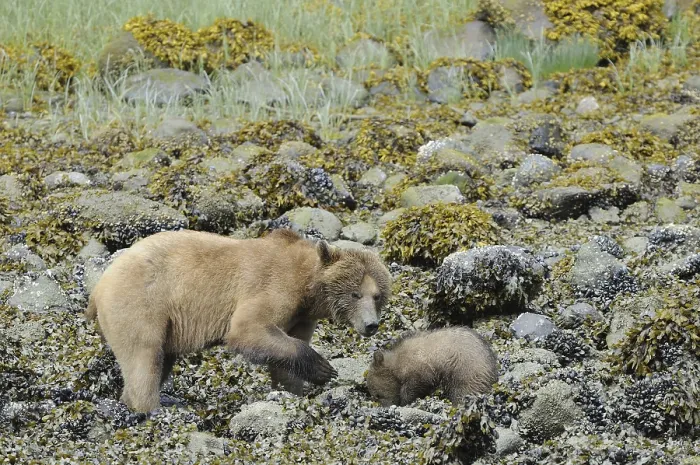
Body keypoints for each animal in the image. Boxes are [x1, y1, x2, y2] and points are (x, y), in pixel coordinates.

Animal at [85, 228, 392, 413]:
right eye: (355, 293)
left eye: (377, 295)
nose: (371, 325)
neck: (308, 287)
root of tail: (99, 286)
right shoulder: (274, 286)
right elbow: (249, 327)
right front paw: (323, 368)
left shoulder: (302, 316)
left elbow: (285, 352)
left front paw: (293, 389)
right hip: (141, 302)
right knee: (144, 356)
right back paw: (150, 407)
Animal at [365, 326, 499, 407]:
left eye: (377, 395)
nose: (387, 406)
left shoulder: (420, 367)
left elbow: (414, 386)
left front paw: (405, 400)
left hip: (467, 369)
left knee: (463, 390)